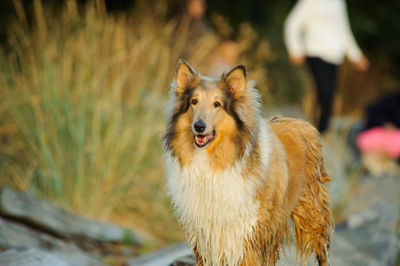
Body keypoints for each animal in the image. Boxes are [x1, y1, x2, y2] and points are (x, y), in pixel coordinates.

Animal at [162, 60, 332, 266]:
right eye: (194, 101)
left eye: (217, 104)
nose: (199, 126)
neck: (213, 163)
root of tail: (302, 123)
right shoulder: (205, 235)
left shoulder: (246, 232)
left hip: (311, 216)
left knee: (322, 252)